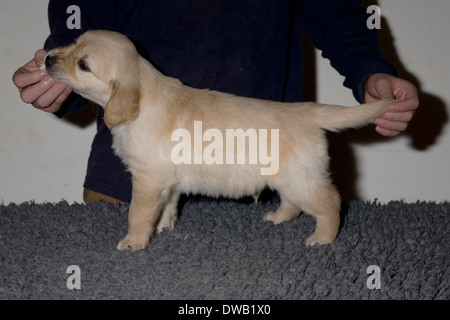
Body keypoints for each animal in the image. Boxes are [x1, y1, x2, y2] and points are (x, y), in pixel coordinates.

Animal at [43, 30, 394, 251]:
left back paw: (323, 238)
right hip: (289, 176)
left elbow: (138, 213)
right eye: (73, 42)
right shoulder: (166, 181)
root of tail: (307, 111)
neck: (143, 96)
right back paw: (277, 218)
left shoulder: (147, 179)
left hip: (301, 178)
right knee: (293, 204)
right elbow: (167, 206)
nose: (46, 59)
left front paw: (134, 241)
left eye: (84, 65)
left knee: (330, 203)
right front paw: (163, 227)